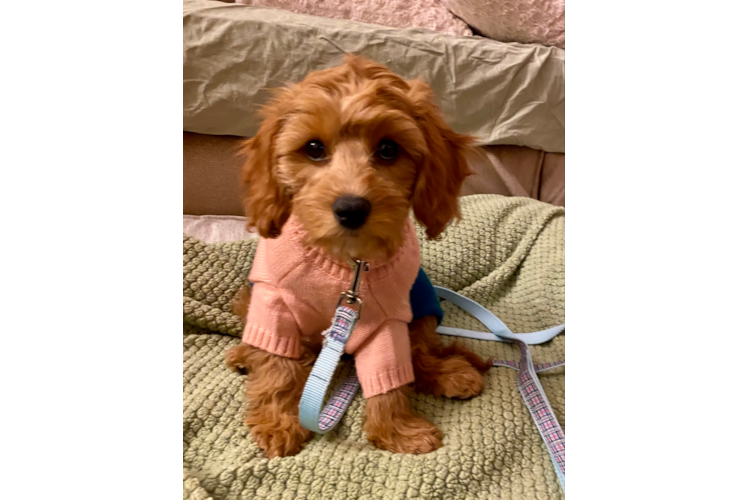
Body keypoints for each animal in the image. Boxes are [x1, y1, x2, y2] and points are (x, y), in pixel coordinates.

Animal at [225, 53, 490, 458]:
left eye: (388, 149)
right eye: (314, 148)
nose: (351, 209)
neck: (346, 264)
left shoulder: (387, 322)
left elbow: (390, 374)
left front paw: (397, 429)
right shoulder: (273, 304)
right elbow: (277, 364)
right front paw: (276, 421)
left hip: (423, 307)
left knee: (421, 351)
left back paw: (448, 373)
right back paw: (245, 355)